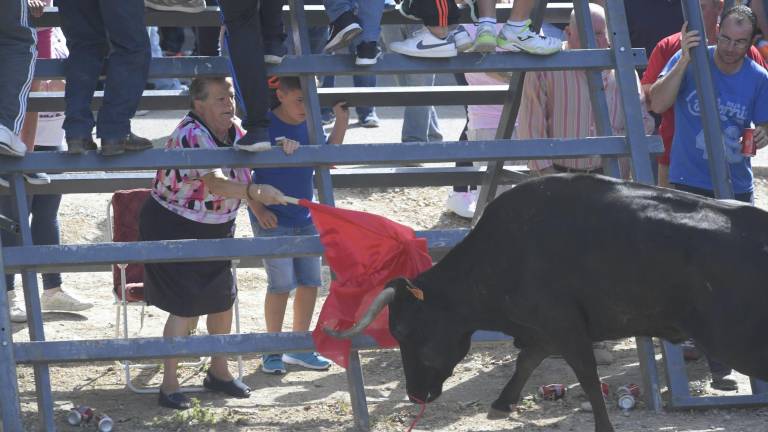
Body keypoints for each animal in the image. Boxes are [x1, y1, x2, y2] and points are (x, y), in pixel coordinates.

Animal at [328, 174, 768, 432]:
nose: (417, 394)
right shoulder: (543, 328)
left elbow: (587, 378)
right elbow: (527, 360)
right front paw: (502, 404)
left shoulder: (565, 326)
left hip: (738, 341)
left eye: (402, 330)